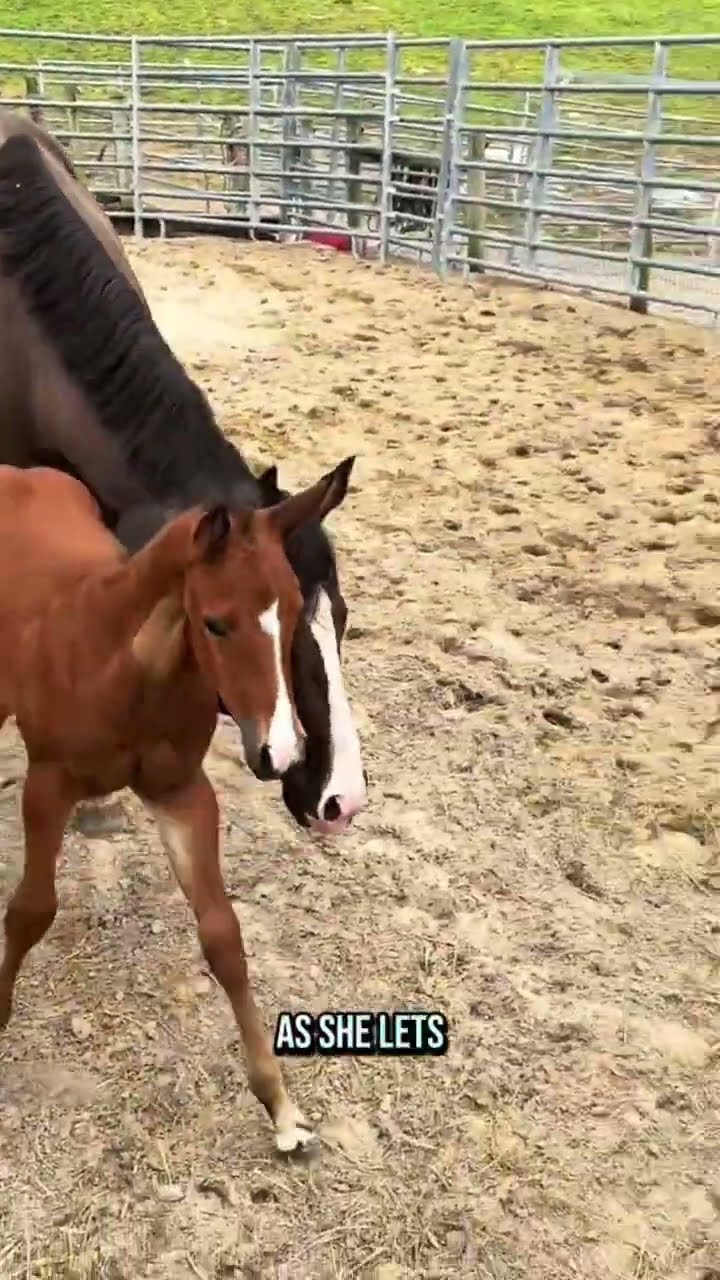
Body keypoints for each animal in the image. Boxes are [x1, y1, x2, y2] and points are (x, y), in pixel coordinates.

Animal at [0, 456, 353, 1152]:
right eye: (215, 622)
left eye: (294, 614)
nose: (278, 753)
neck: (125, 671)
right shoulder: (48, 783)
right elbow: (30, 910)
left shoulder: (182, 792)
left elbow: (222, 934)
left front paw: (282, 1110)